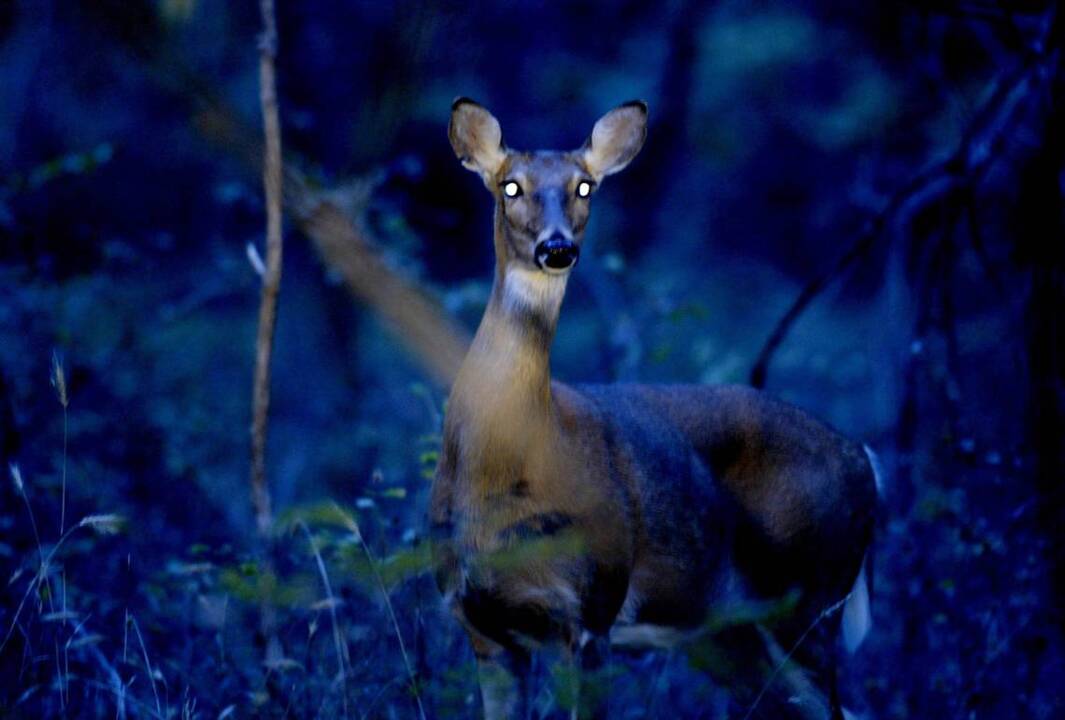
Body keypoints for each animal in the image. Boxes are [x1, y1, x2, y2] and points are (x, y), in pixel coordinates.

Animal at [429, 98, 880, 720]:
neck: (499, 476)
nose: (557, 248)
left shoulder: (591, 607)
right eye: (510, 185)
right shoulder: (482, 627)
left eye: (586, 186)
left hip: (814, 594)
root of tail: (865, 458)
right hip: (726, 635)